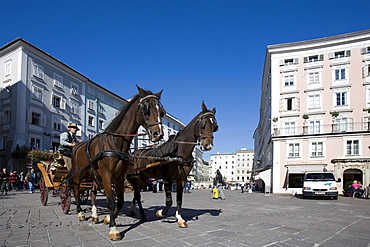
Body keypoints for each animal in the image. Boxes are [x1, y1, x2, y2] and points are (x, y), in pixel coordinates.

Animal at [69, 86, 166, 240]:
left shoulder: (119, 177)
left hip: (94, 175)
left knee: (92, 193)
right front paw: (114, 229)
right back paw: (80, 212)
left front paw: (108, 219)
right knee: (77, 190)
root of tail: (75, 146)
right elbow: (110, 201)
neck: (115, 143)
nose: (159, 134)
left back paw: (95, 216)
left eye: (161, 111)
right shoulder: (108, 176)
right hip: (79, 172)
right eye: (146, 109)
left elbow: (119, 201)